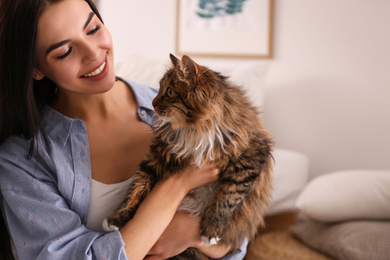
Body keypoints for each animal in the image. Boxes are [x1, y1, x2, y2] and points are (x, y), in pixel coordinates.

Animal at [106, 53, 272, 258]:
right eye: (159, 89)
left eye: (169, 92)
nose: (152, 103)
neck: (194, 130)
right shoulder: (156, 157)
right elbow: (135, 189)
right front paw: (116, 218)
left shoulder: (251, 158)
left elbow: (228, 197)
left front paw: (211, 231)